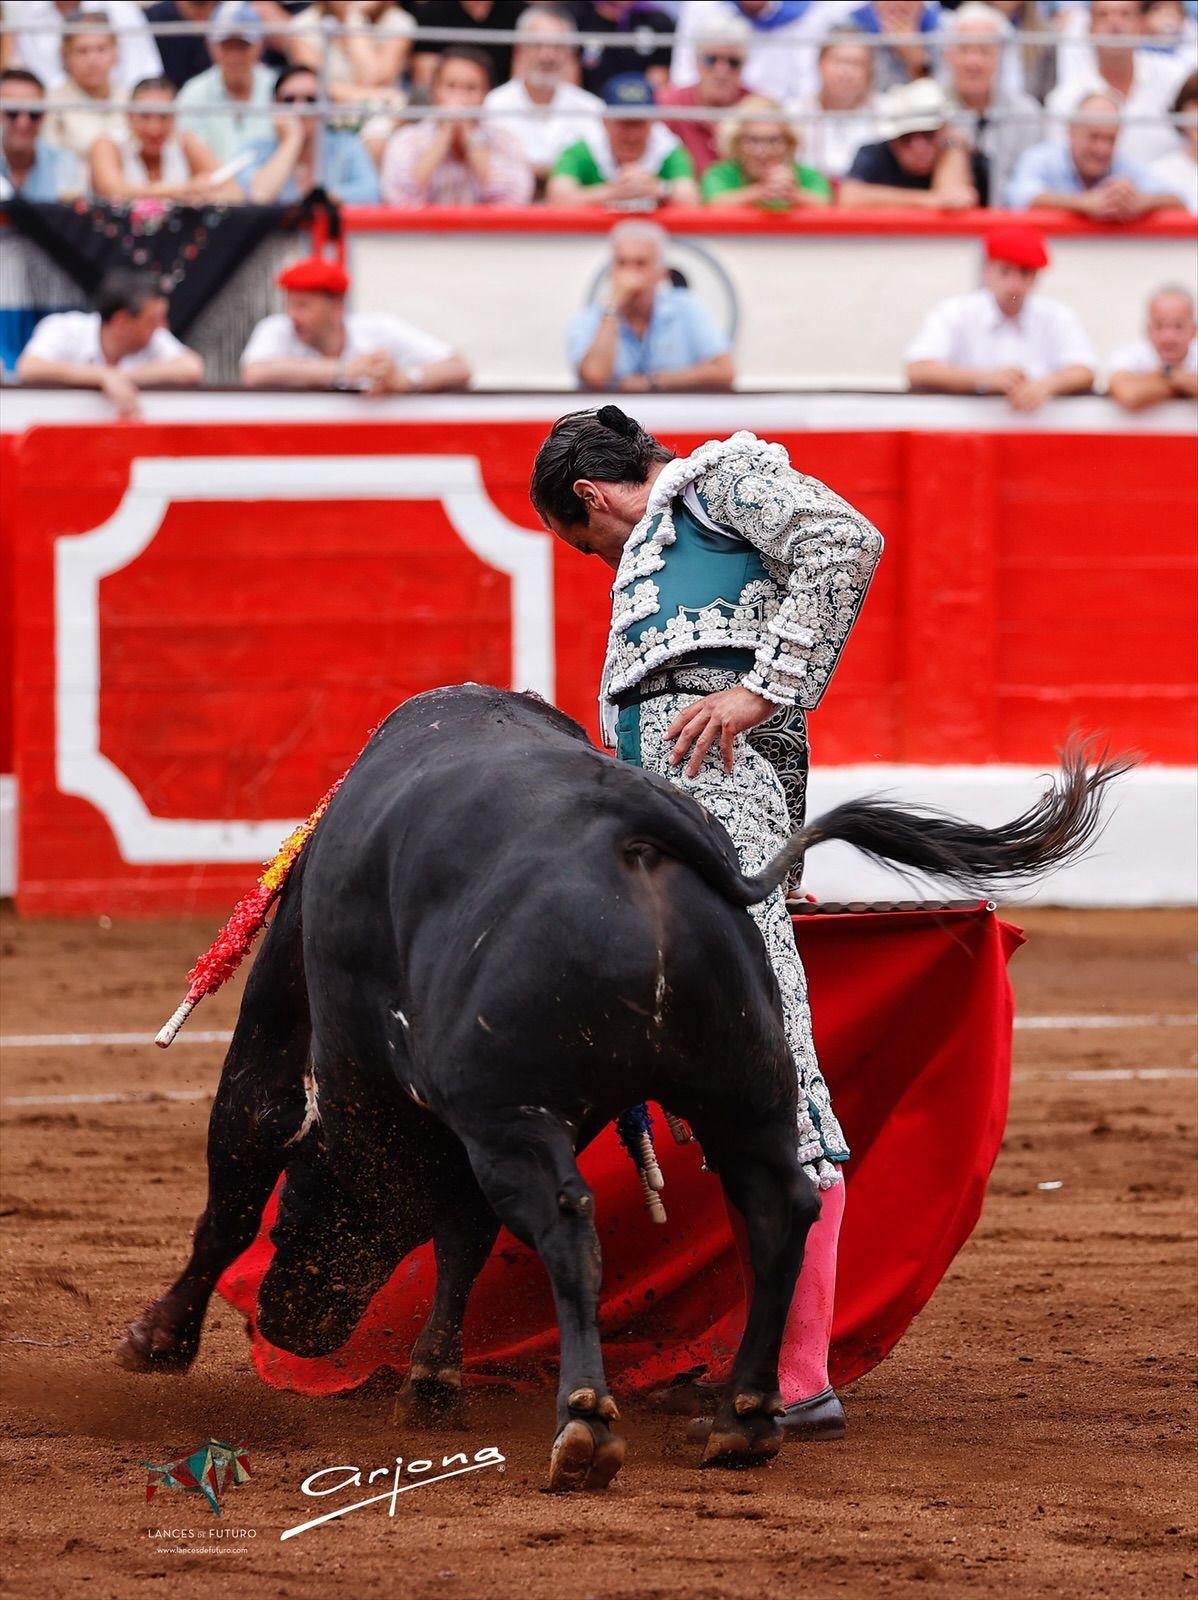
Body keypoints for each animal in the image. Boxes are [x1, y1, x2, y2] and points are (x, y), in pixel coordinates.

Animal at [118, 685, 1128, 1491]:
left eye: (303, 1198)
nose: (291, 1319)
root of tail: (634, 834)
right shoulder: (474, 1124)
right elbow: (461, 1237)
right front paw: (432, 1386)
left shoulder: (331, 1034)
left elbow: (247, 1151)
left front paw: (157, 1339)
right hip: (741, 1089)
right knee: (782, 1208)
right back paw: (743, 1417)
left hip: (519, 1114)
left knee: (569, 1227)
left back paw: (586, 1424)